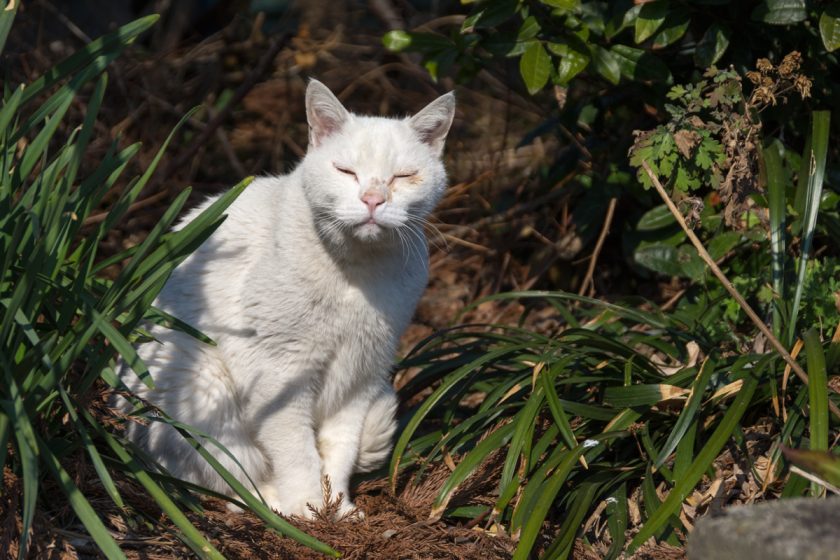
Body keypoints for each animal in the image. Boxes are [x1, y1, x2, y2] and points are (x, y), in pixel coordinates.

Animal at [119, 79, 456, 516]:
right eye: (346, 171)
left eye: (403, 176)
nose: (373, 199)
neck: (356, 274)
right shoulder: (279, 372)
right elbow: (296, 452)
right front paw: (308, 510)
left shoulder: (362, 373)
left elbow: (340, 450)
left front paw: (337, 508)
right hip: (203, 383)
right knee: (226, 483)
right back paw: (274, 505)